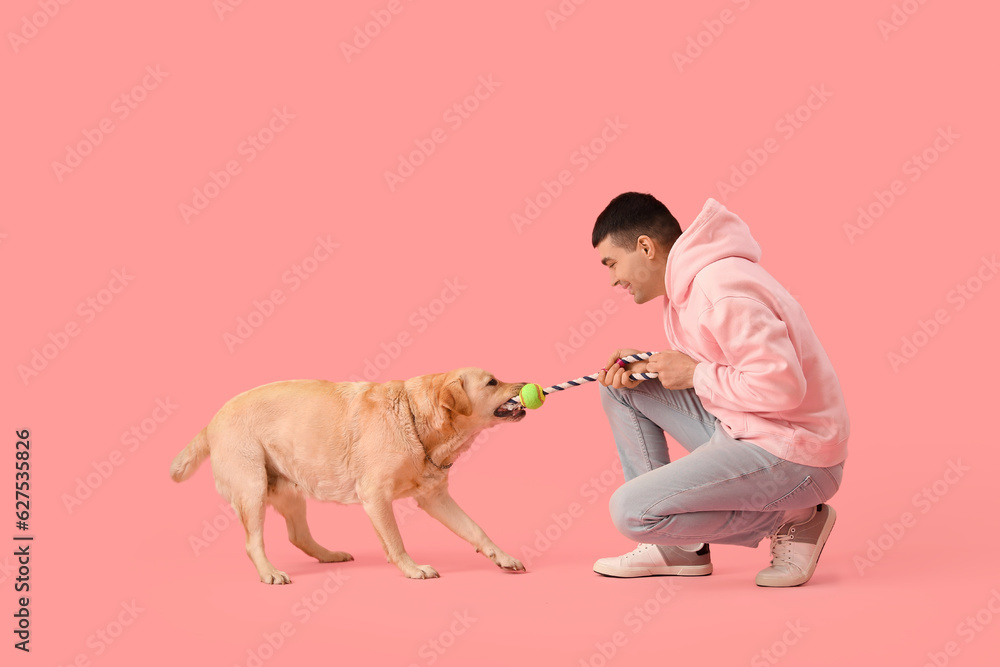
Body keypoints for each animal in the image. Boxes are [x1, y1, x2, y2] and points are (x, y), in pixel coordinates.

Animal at [172, 368, 532, 580]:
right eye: (492, 382)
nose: (531, 386)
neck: (416, 419)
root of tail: (211, 422)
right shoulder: (376, 497)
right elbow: (396, 540)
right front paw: (412, 568)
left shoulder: (435, 498)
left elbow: (476, 529)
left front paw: (502, 557)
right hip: (253, 487)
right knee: (253, 543)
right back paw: (270, 572)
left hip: (290, 488)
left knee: (298, 536)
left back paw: (328, 555)